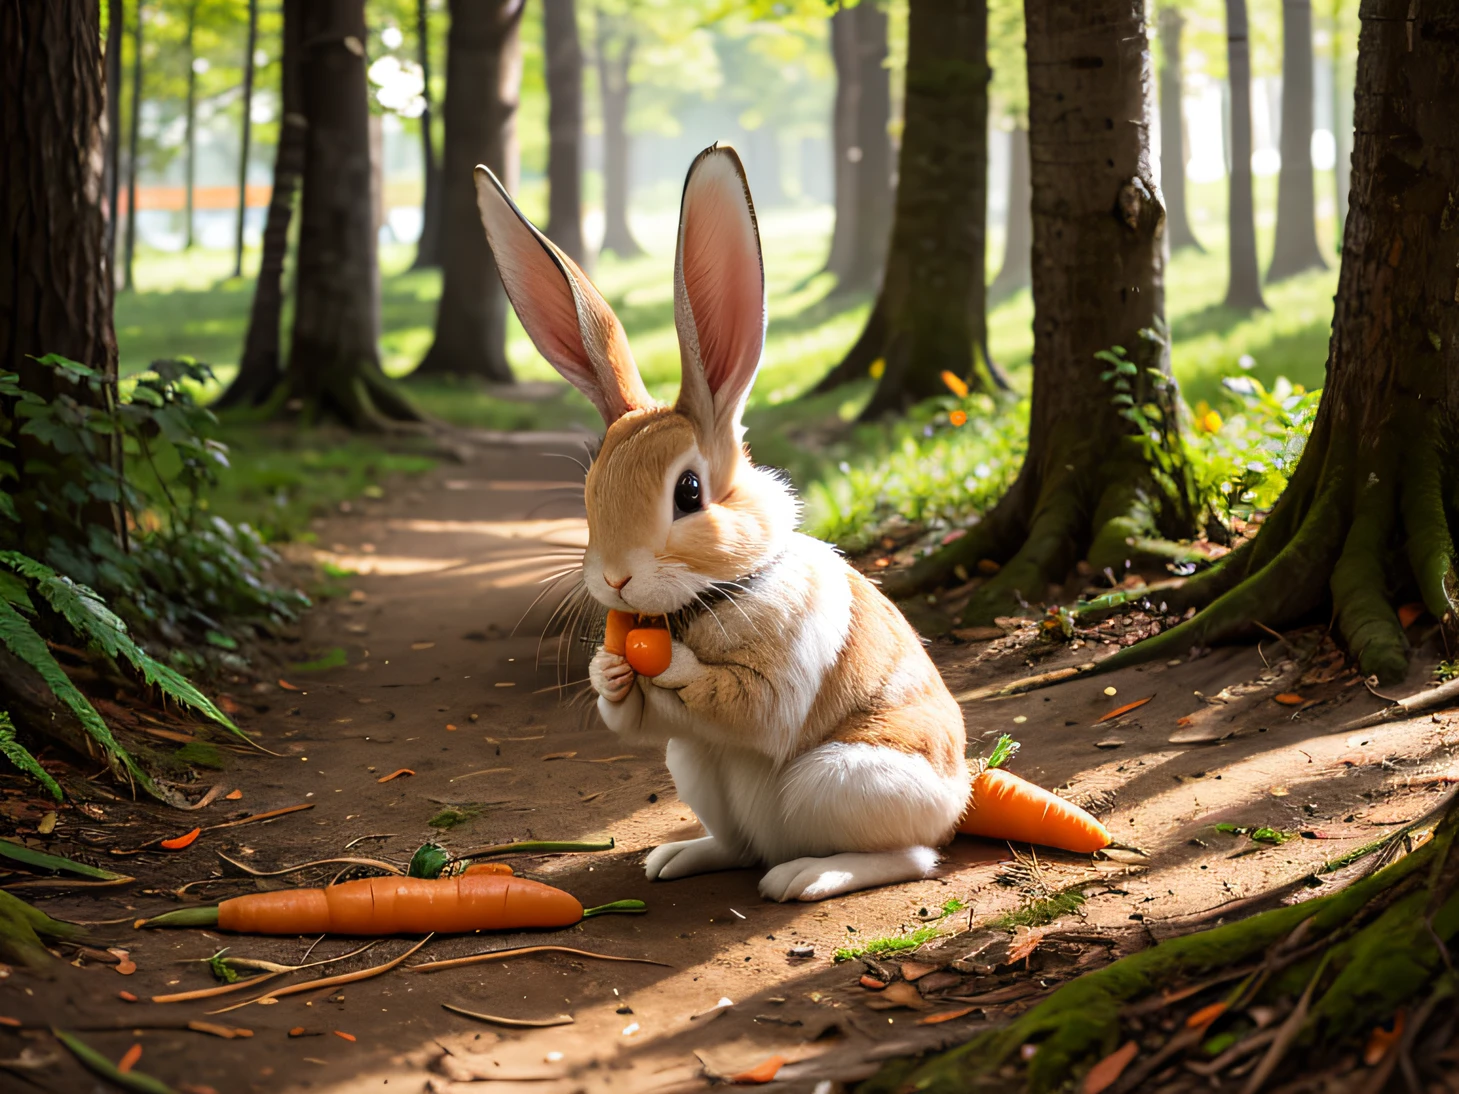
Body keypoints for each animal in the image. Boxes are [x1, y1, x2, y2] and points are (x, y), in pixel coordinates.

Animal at [475, 143, 968, 898]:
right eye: (589, 490)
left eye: (688, 492)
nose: (614, 580)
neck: (705, 600)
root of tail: (961, 790)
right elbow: (626, 715)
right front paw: (608, 672)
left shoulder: (776, 681)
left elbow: (748, 702)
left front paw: (670, 662)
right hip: (693, 765)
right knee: (739, 845)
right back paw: (679, 858)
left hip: (844, 778)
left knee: (913, 856)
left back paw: (804, 878)